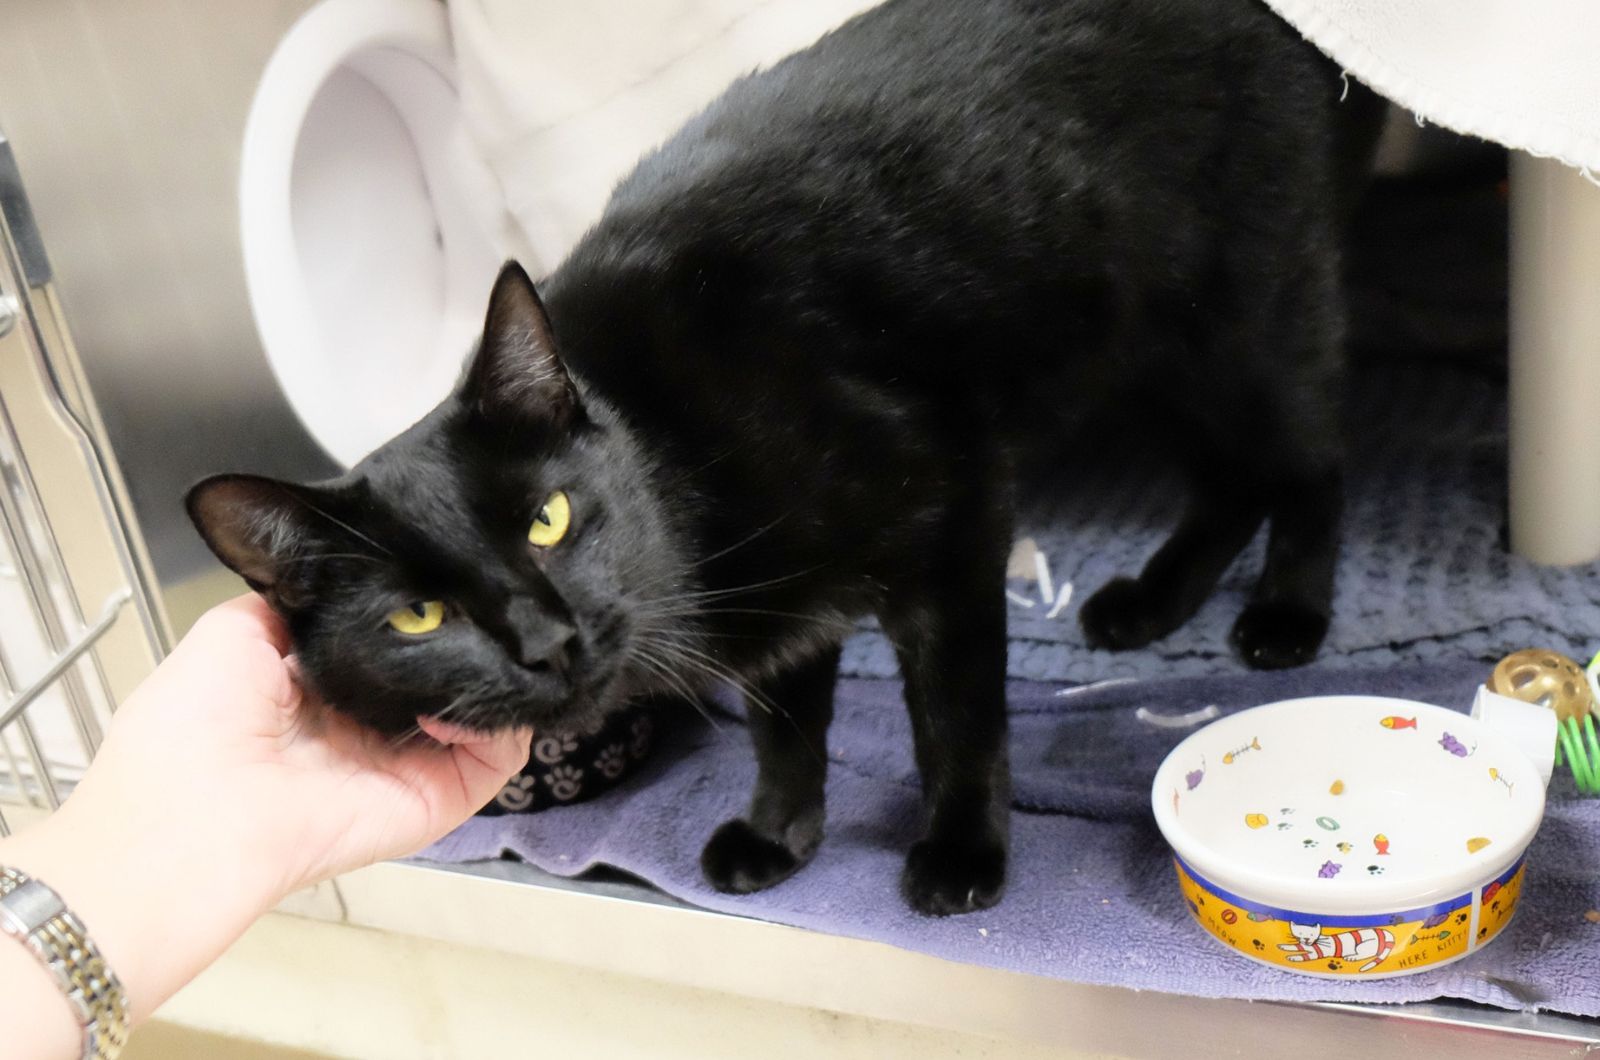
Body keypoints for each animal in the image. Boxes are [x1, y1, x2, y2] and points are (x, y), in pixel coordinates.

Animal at [190, 0, 1388, 915]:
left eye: (549, 518)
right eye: (418, 616)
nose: (545, 641)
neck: (676, 455)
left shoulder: (954, 518)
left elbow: (953, 716)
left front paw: (960, 851)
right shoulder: (781, 619)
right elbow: (782, 727)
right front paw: (778, 833)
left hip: (1244, 322)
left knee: (1310, 461)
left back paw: (1285, 615)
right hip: (1151, 354)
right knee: (1229, 478)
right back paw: (1147, 602)